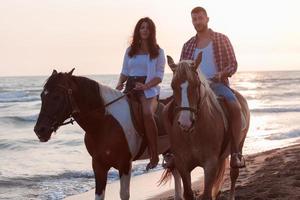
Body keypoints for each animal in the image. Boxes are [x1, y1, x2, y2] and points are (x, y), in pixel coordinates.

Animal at [33, 69, 182, 199]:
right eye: (42, 96)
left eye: (56, 96)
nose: (40, 130)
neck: (104, 123)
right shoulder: (98, 165)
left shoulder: (125, 165)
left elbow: (124, 195)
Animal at [163, 53, 250, 200]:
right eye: (172, 86)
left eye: (196, 84)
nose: (185, 122)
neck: (193, 134)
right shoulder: (182, 164)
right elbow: (188, 193)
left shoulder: (210, 164)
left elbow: (207, 194)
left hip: (239, 145)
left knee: (234, 174)